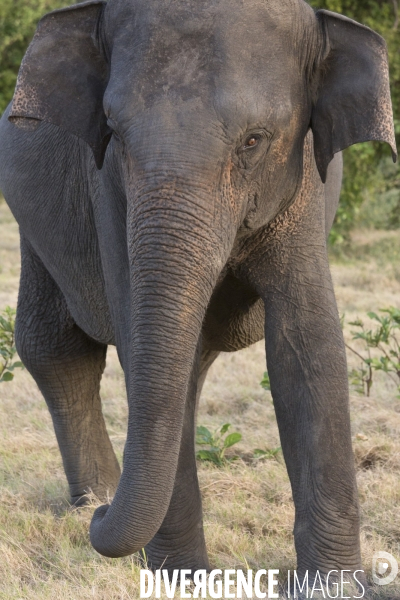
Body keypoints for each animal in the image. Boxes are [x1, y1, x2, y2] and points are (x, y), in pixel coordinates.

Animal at [0, 0, 396, 584]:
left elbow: (307, 345)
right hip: (33, 223)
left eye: (254, 140)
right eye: (113, 132)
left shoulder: (305, 181)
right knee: (56, 346)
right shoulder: (107, 190)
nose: (100, 518)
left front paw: (336, 585)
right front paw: (182, 579)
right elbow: (139, 337)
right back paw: (94, 493)